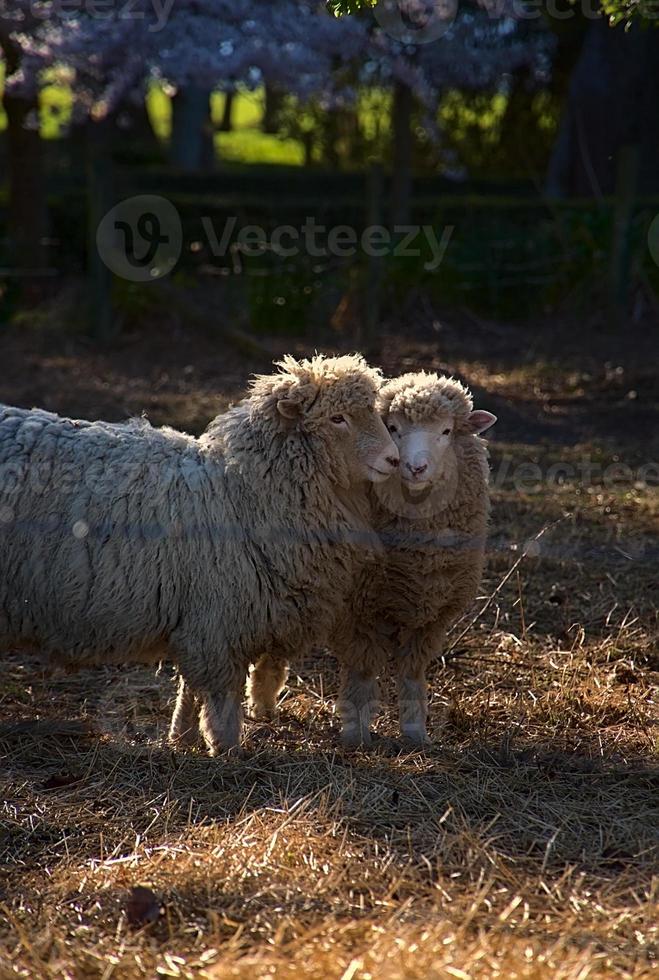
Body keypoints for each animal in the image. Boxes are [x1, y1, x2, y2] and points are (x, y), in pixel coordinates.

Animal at [0, 356, 398, 756]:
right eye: (337, 419)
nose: (393, 459)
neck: (242, 490)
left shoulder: (198, 617)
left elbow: (190, 686)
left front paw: (182, 735)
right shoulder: (217, 618)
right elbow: (220, 693)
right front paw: (226, 746)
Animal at [250, 372, 498, 748]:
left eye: (446, 431)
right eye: (392, 427)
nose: (415, 467)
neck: (418, 557)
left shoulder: (430, 619)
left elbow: (411, 676)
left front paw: (415, 734)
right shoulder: (359, 611)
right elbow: (362, 673)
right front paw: (356, 734)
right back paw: (261, 707)